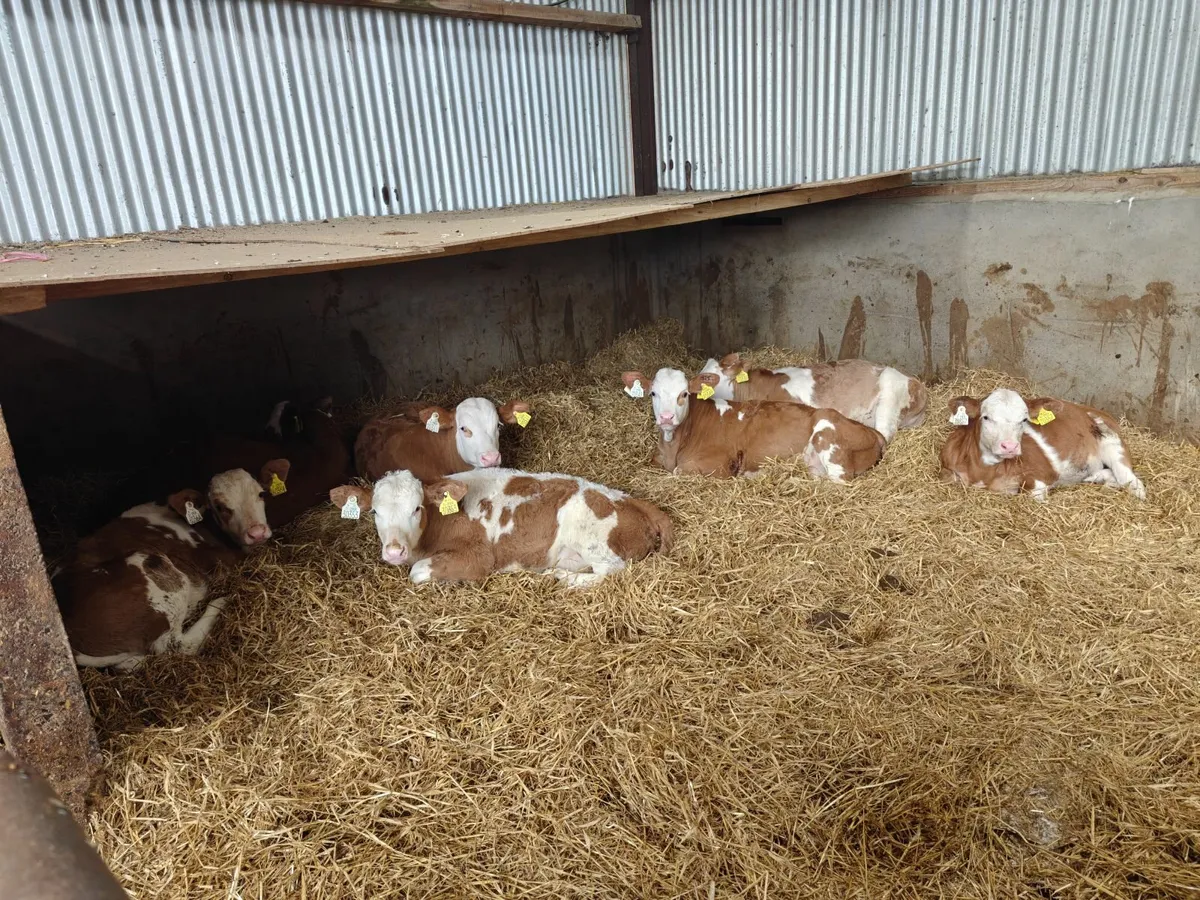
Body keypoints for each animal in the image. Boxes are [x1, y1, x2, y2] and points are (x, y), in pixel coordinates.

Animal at [53, 461, 288, 671]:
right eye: (220, 507)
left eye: (261, 494)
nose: (257, 532)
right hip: (153, 572)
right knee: (179, 645)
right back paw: (221, 602)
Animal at [330, 467, 672, 588]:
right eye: (375, 511)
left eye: (416, 508)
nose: (394, 551)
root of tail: (631, 498)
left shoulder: (479, 558)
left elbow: (417, 572)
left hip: (594, 541)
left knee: (611, 572)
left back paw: (562, 578)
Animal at [621, 367, 885, 481]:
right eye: (653, 393)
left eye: (684, 394)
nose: (666, 418)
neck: (673, 446)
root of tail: (873, 432)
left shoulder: (715, 464)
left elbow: (677, 472)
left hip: (828, 439)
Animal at [939, 389, 1146, 501]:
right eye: (986, 417)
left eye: (1023, 420)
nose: (1010, 446)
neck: (983, 473)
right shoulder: (946, 467)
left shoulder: (1042, 474)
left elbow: (1033, 492)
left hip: (1112, 444)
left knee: (1130, 480)